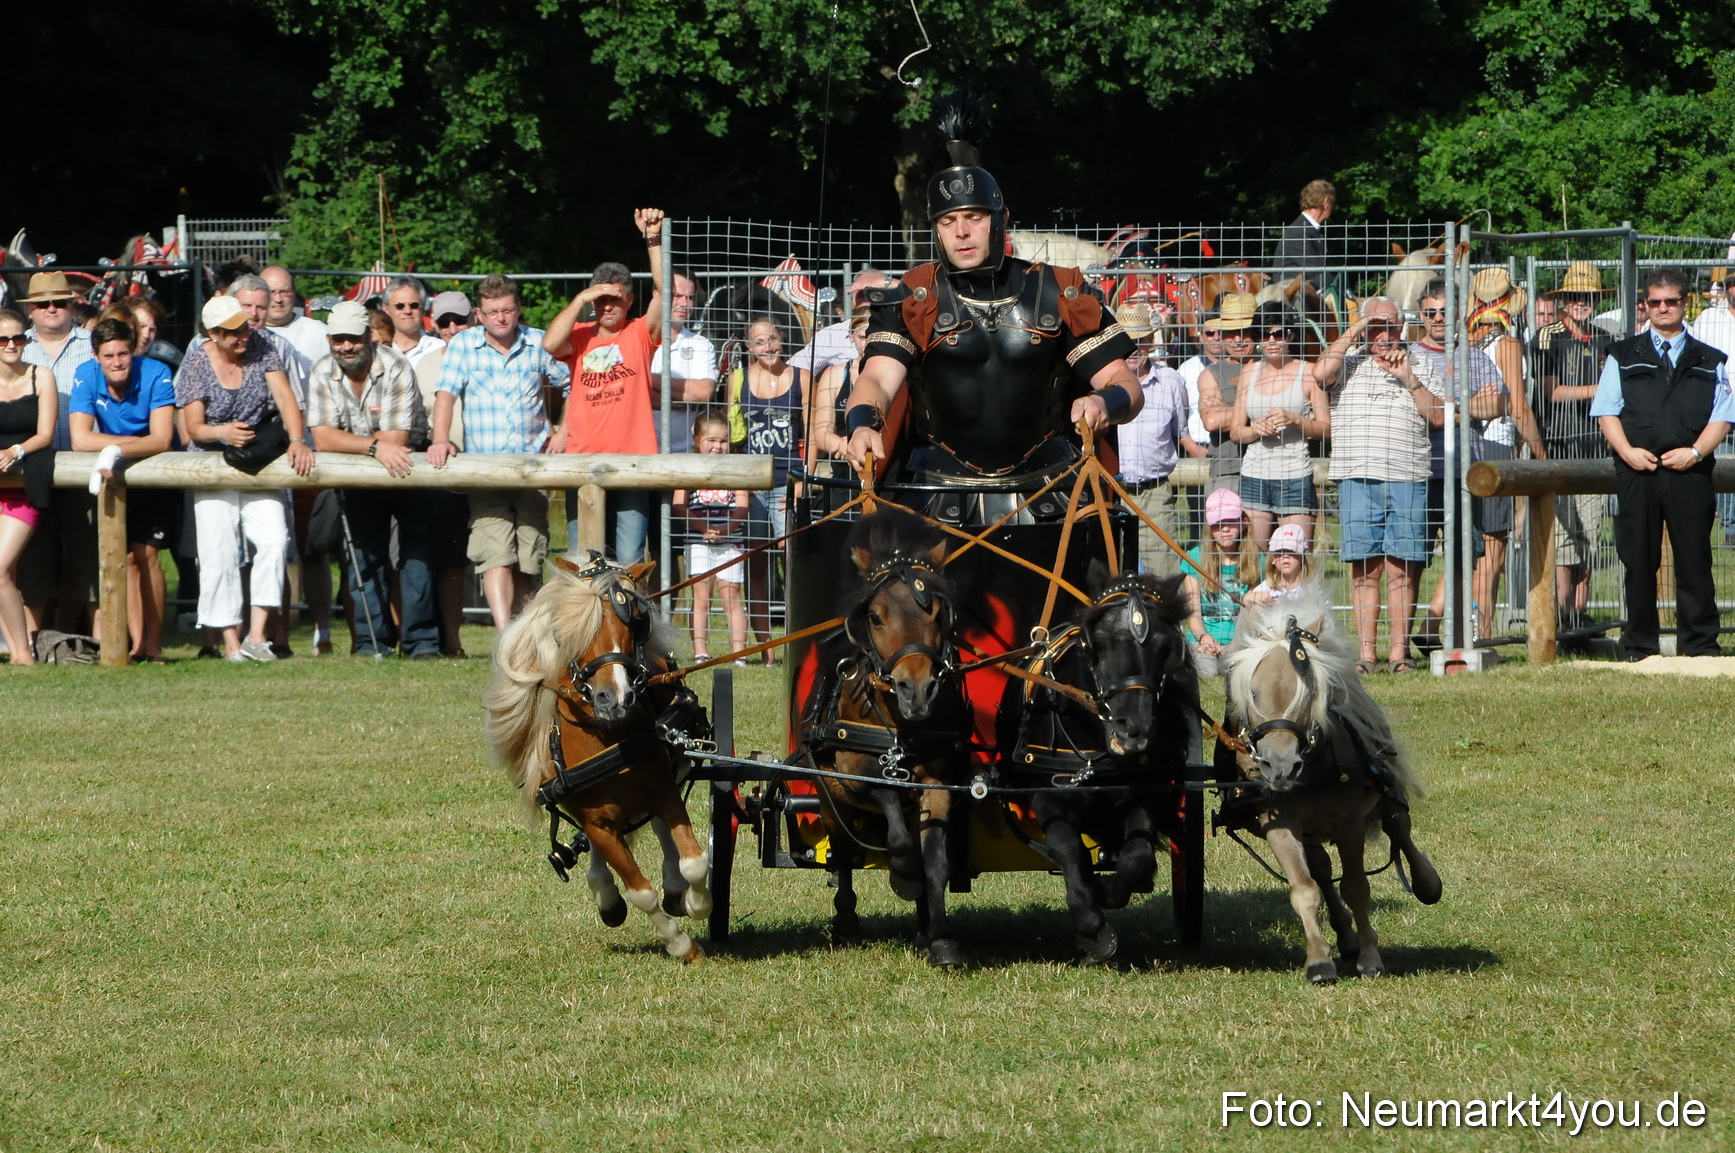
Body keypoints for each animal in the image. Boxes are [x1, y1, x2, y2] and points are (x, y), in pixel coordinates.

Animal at [484, 554, 713, 963]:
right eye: (567, 630)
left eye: (635, 621)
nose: (614, 698)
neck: (605, 739)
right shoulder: (596, 822)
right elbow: (640, 891)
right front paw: (680, 944)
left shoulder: (664, 791)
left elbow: (694, 861)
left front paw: (695, 902)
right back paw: (606, 893)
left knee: (659, 831)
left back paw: (674, 888)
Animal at [802, 508, 971, 967]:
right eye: (876, 616)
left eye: (937, 614)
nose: (918, 689)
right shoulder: (856, 772)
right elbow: (893, 820)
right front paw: (904, 878)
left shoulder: (938, 782)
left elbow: (935, 860)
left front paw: (941, 937)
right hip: (828, 796)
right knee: (842, 852)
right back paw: (845, 922)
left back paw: (922, 928)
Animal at [1000, 566, 1193, 963]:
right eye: (1099, 644)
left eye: (1165, 647)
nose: (1134, 729)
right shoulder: (1044, 795)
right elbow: (1067, 848)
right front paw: (1092, 928)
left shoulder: (1146, 793)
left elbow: (1137, 858)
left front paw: (1108, 892)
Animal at [1218, 589, 1441, 984]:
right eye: (1254, 693)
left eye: (1308, 693)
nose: (1279, 767)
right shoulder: (1278, 824)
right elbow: (1304, 889)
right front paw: (1320, 961)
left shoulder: (1351, 823)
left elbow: (1356, 887)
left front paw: (1370, 958)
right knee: (1322, 870)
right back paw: (1345, 938)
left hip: (1386, 795)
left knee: (1400, 831)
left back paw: (1426, 884)